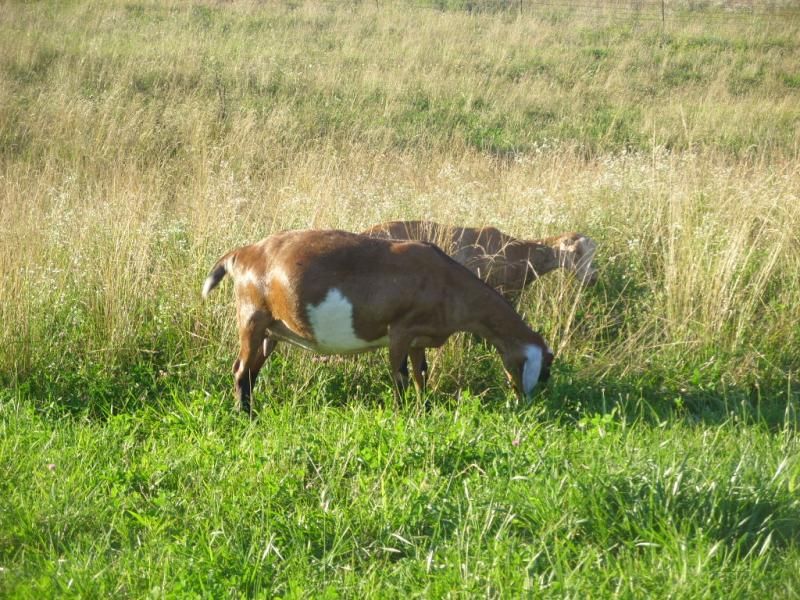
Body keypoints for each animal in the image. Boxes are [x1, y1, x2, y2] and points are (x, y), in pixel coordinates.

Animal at [202, 229, 553, 415]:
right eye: (544, 370)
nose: (526, 403)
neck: (446, 281)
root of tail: (241, 255)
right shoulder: (400, 330)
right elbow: (399, 375)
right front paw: (402, 413)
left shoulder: (418, 338)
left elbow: (420, 374)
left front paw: (423, 407)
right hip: (252, 317)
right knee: (241, 370)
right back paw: (244, 416)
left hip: (272, 330)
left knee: (250, 371)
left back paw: (250, 409)